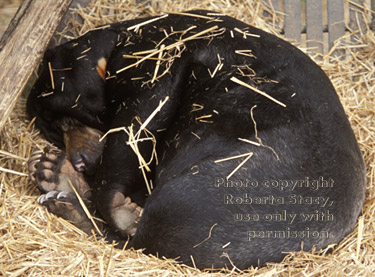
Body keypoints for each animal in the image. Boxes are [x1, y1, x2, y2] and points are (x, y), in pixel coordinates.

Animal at [26, 10, 368, 268]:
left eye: (71, 119)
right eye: (54, 131)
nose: (80, 160)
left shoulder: (158, 62)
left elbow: (139, 122)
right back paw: (56, 175)